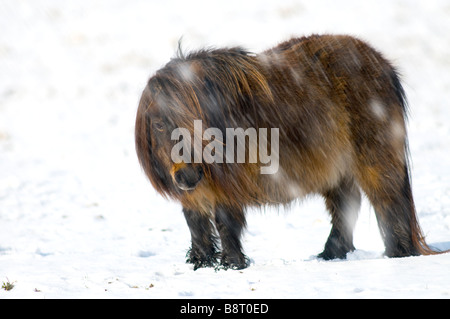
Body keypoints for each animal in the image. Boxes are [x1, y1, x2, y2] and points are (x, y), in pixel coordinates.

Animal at [135, 35, 442, 270]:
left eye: (199, 121)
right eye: (159, 124)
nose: (187, 175)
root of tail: (383, 65)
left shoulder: (229, 187)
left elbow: (225, 223)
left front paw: (231, 265)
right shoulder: (196, 194)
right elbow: (196, 224)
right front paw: (200, 263)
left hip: (375, 159)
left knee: (388, 202)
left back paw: (398, 255)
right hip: (337, 168)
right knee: (346, 205)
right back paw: (330, 255)